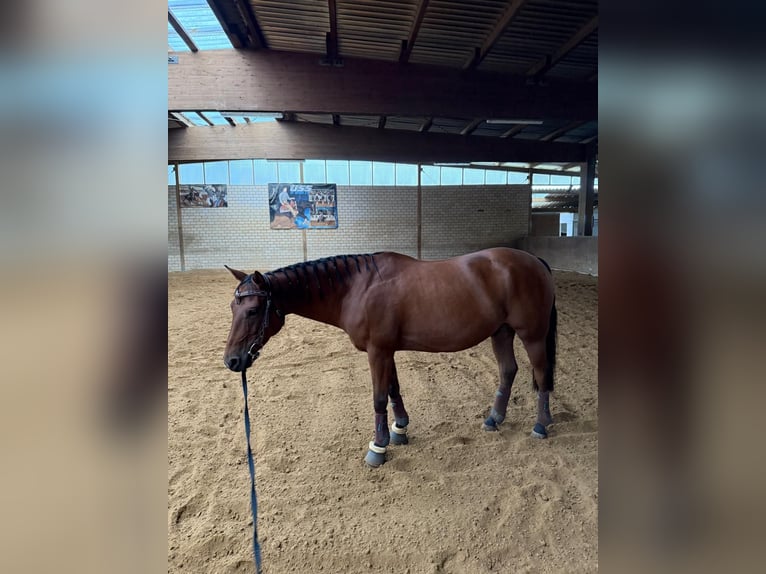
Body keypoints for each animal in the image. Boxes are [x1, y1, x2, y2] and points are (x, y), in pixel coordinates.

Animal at [223, 248, 557, 467]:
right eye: (232, 307)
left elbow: (379, 398)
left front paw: (378, 447)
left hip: (532, 335)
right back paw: (494, 419)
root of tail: (534, 260)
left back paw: (541, 425)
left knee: (541, 374)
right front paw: (399, 430)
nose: (232, 361)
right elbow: (394, 389)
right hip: (501, 332)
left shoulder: (378, 351)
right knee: (508, 370)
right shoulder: (387, 351)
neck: (357, 288)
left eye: (252, 310)